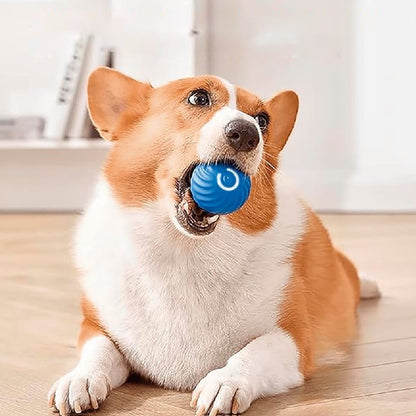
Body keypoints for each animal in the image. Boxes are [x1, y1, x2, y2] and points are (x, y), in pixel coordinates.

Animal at [48, 66, 380, 414]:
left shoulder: (293, 339)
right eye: (198, 98)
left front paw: (225, 382)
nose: (246, 133)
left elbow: (254, 352)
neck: (183, 251)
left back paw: (369, 286)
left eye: (262, 120)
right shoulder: (94, 325)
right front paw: (79, 379)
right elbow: (98, 351)